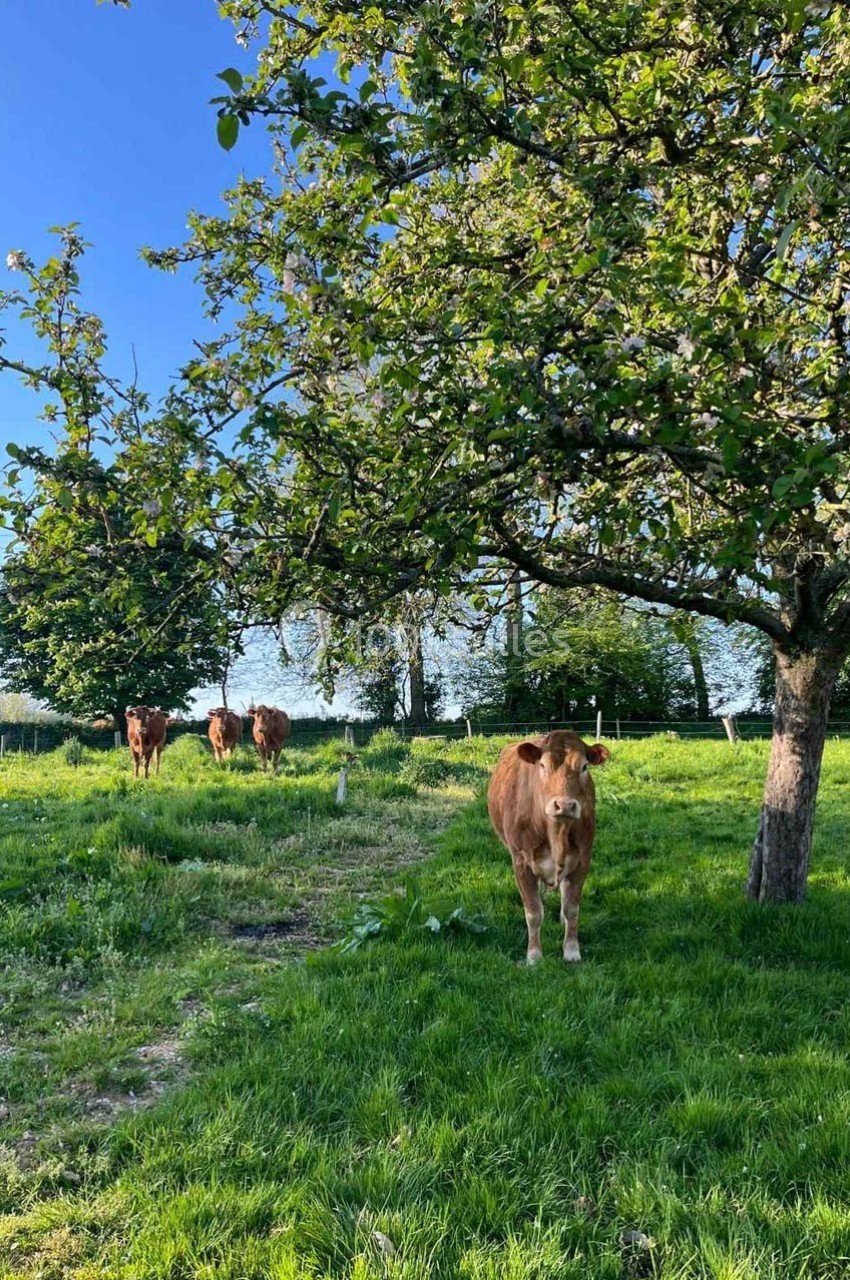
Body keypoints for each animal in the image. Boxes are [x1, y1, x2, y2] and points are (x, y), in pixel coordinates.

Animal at [488, 730, 610, 964]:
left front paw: (571, 951)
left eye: (584, 766)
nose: (564, 805)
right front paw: (534, 955)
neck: (556, 834)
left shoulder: (583, 859)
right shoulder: (521, 862)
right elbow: (534, 912)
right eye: (543, 765)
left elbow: (572, 909)